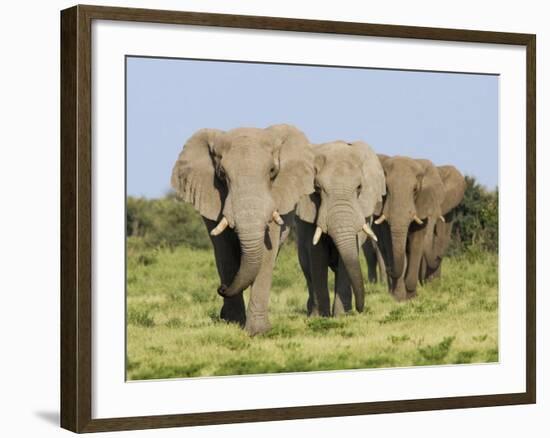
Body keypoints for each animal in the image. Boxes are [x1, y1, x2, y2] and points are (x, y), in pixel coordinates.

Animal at [170, 124, 316, 336]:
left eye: (272, 171)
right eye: (222, 174)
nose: (221, 288)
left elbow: (267, 254)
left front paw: (258, 332)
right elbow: (224, 252)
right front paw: (232, 323)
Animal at [296, 142, 386, 316]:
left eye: (359, 187)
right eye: (317, 188)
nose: (360, 309)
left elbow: (349, 256)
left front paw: (342, 316)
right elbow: (317, 255)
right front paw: (321, 317)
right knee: (307, 268)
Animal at [376, 157, 448, 302]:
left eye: (415, 189)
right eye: (386, 188)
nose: (389, 269)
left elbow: (416, 243)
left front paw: (411, 296)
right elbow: (389, 242)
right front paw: (399, 298)